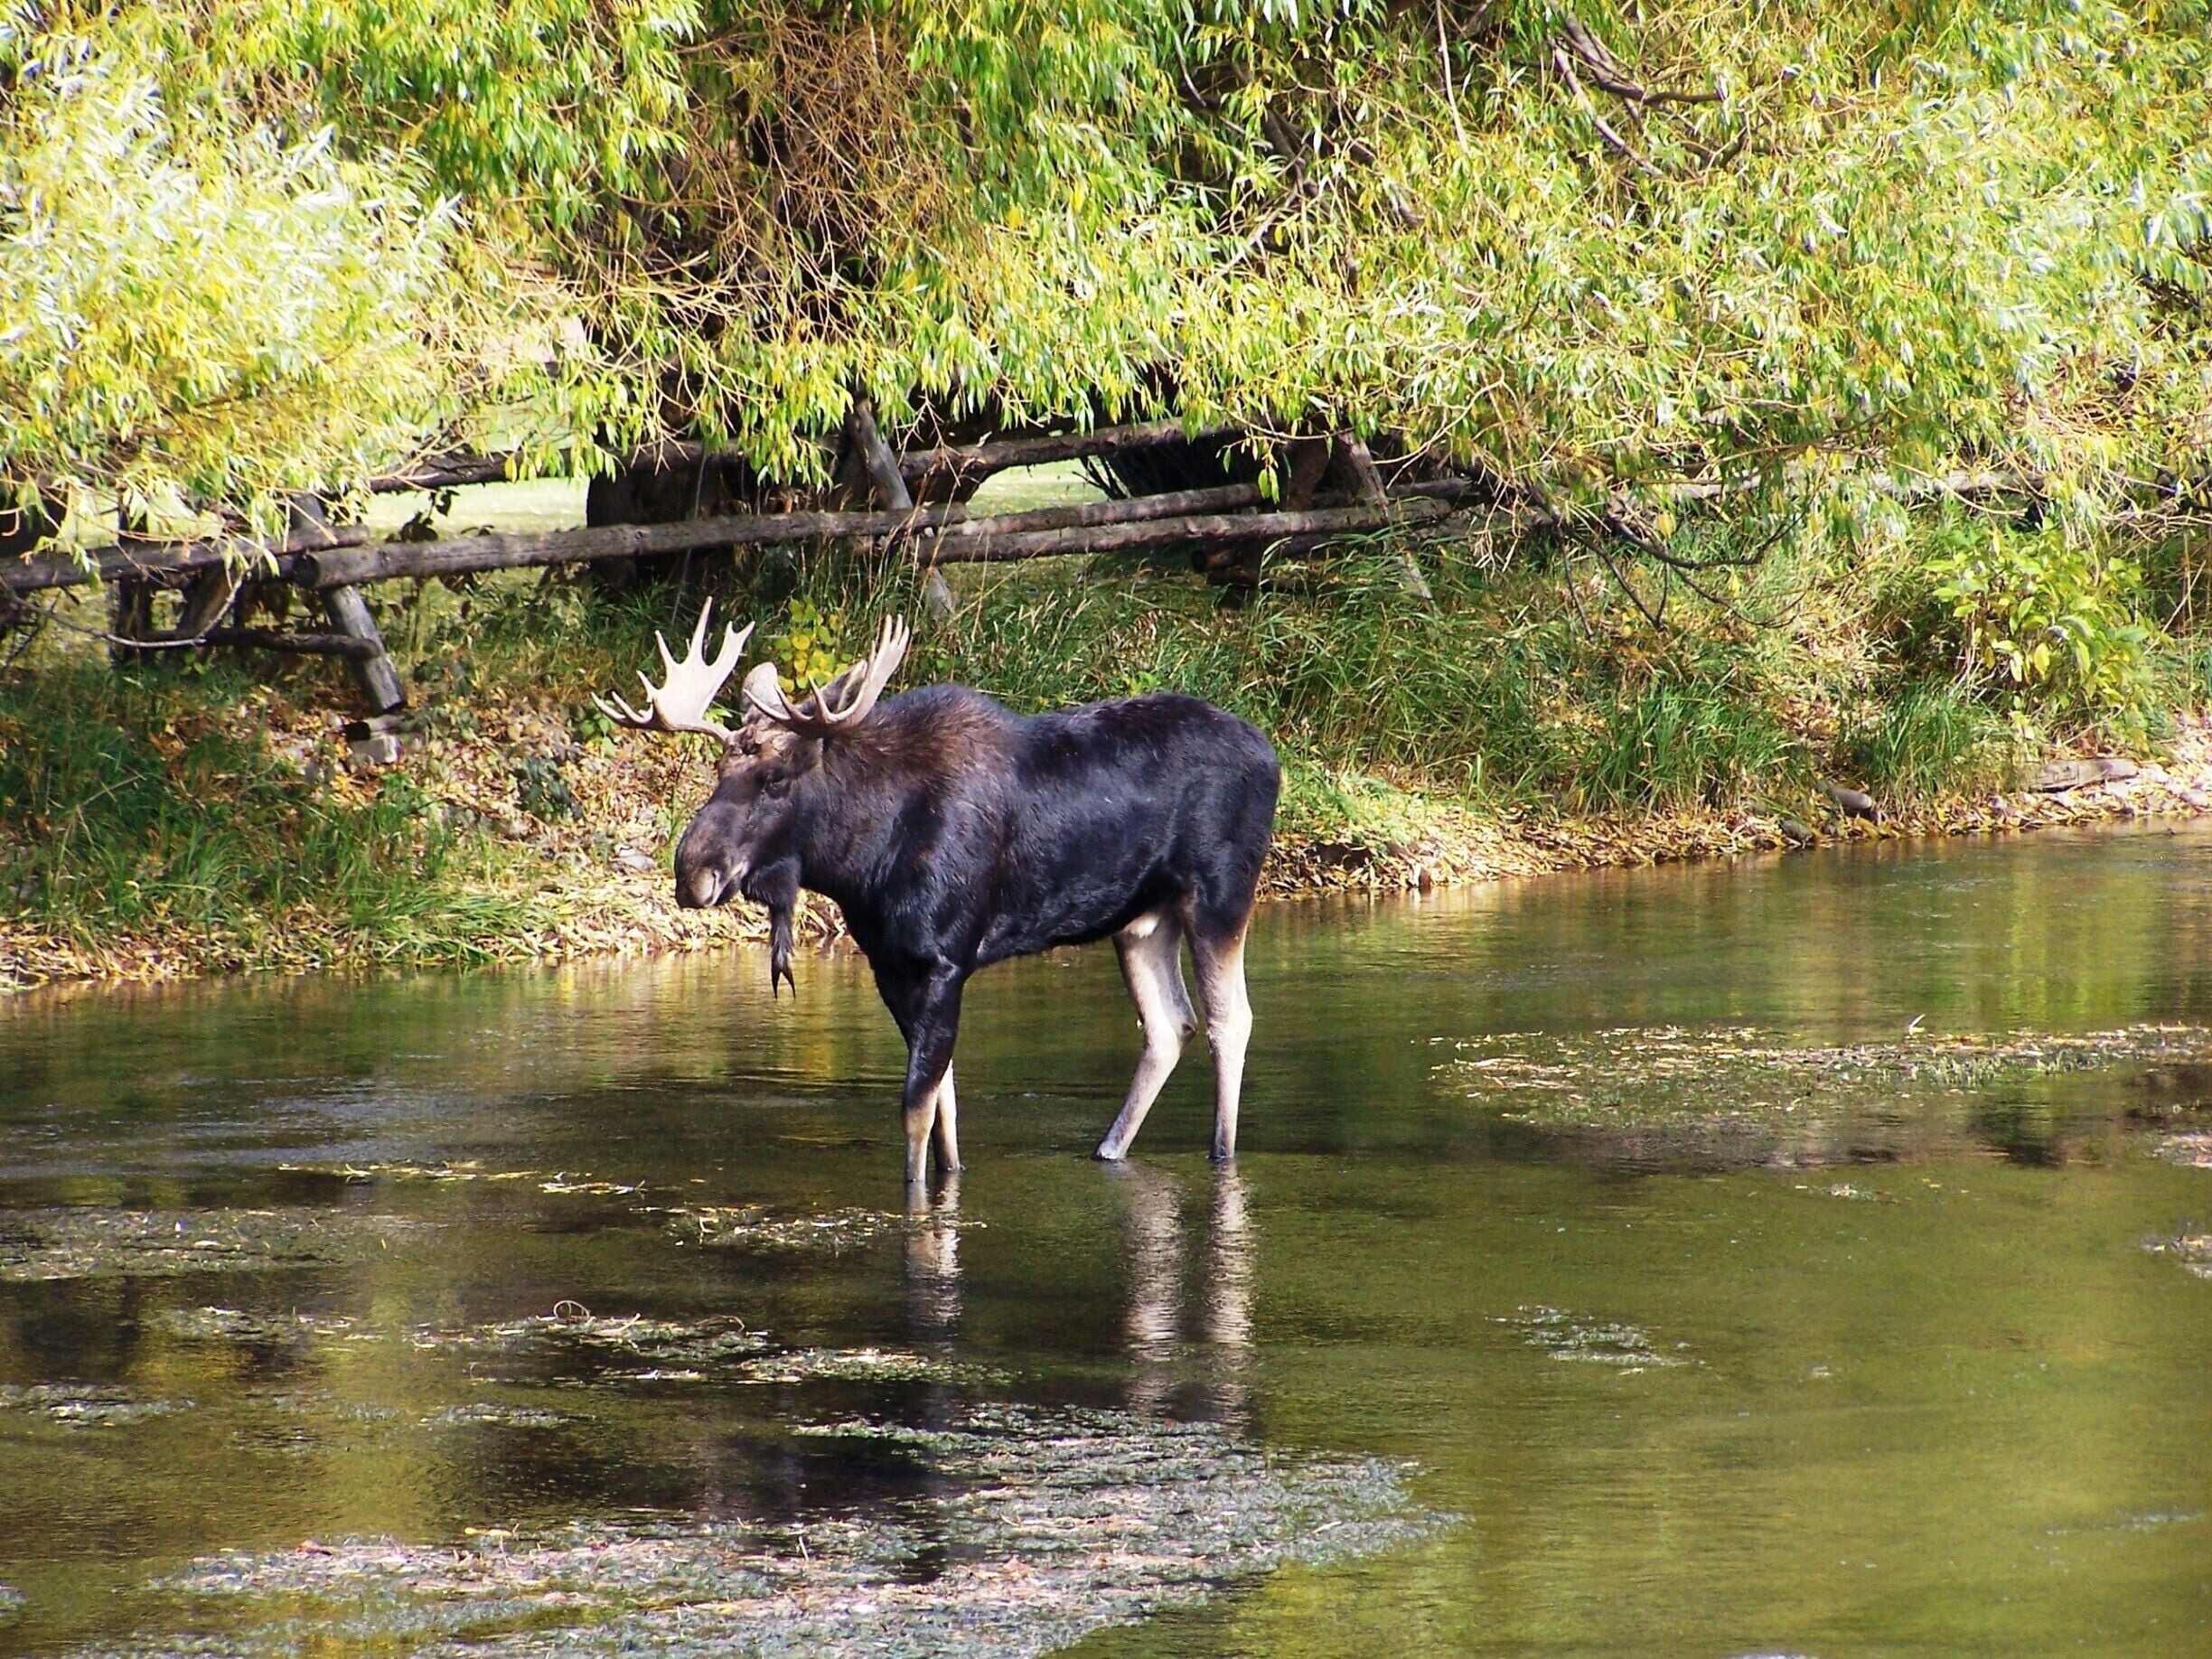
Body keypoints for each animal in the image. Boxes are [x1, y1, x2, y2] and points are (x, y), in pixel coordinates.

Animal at [597, 604, 1279, 1185]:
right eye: (718, 773)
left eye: (775, 778)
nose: (692, 871)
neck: (862, 861)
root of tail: (1273, 755)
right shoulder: (891, 966)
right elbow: (945, 1101)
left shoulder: (946, 960)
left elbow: (916, 1106)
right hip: (1140, 920)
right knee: (1169, 1025)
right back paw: (1109, 1149)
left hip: (1218, 894)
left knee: (1230, 1020)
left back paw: (1222, 1152)